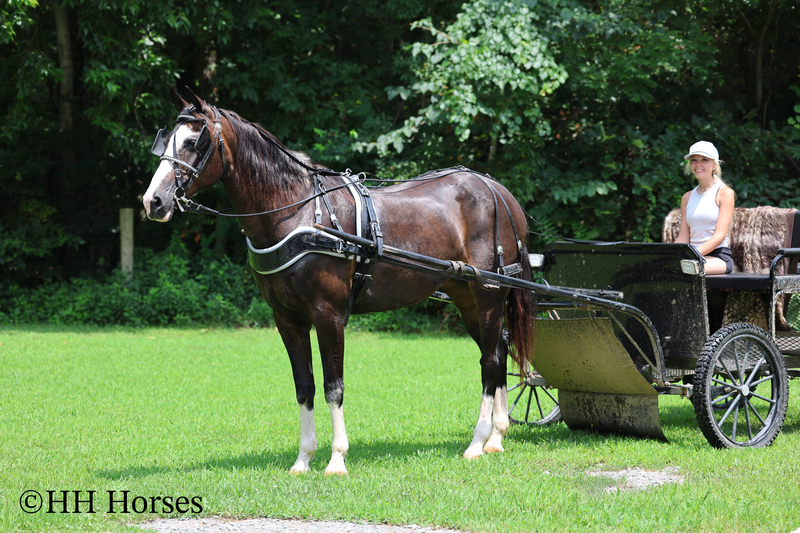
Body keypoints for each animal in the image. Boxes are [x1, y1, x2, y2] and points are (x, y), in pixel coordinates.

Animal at [143, 89, 535, 475]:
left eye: (193, 141)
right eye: (166, 140)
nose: (153, 201)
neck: (297, 212)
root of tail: (497, 190)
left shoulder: (328, 315)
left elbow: (334, 386)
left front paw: (336, 459)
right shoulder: (287, 319)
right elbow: (304, 386)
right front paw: (303, 459)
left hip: (488, 296)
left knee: (491, 362)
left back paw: (477, 442)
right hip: (466, 297)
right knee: (498, 351)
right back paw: (496, 437)